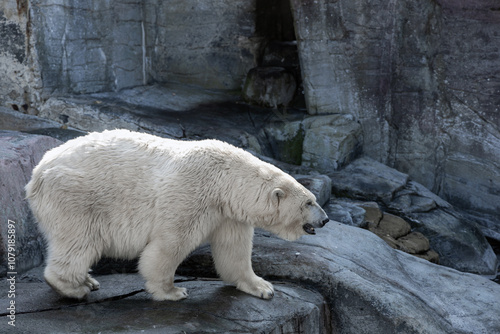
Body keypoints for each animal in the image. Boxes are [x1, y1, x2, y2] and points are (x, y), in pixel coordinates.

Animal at [25, 130, 328, 300]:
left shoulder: (227, 214)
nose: (325, 219)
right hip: (77, 197)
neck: (224, 180)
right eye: (309, 202)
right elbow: (170, 244)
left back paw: (87, 280)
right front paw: (173, 291)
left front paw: (262, 286)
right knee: (79, 240)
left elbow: (234, 250)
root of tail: (37, 173)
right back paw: (73, 287)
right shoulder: (191, 195)